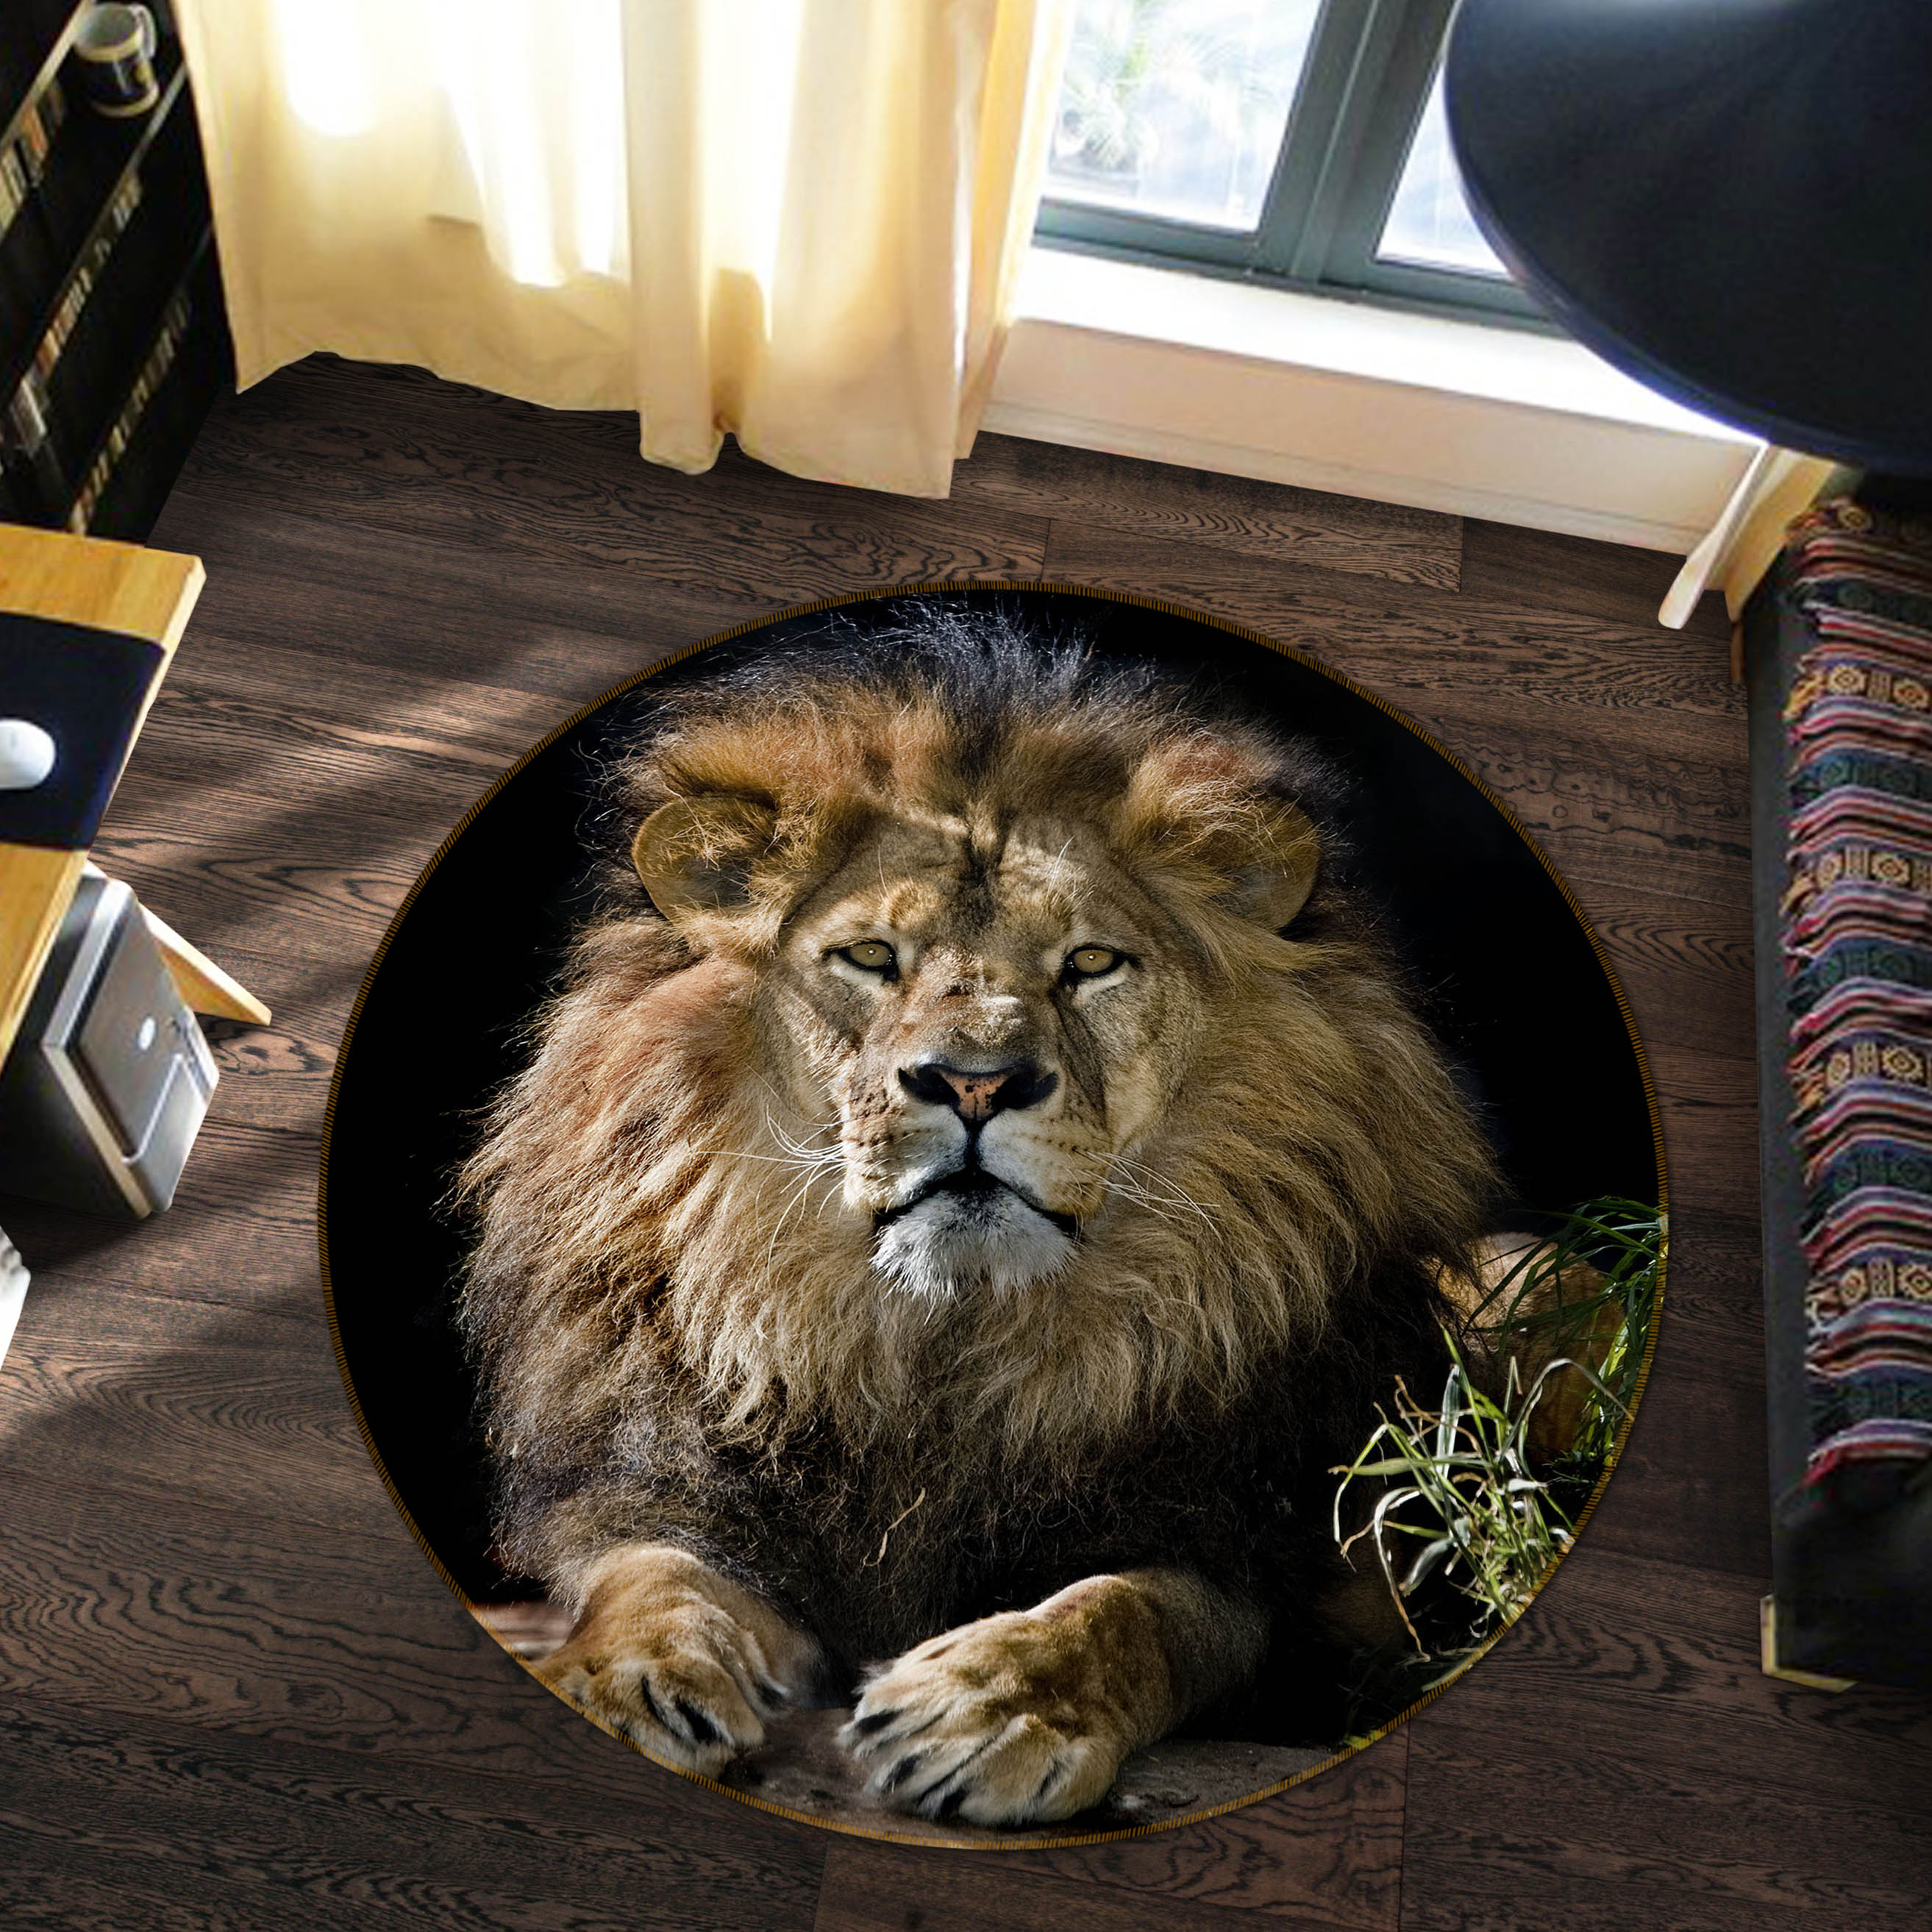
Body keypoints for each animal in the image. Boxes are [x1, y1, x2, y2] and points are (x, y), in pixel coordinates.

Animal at [457, 611, 1500, 1825]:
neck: (938, 1346)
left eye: (1089, 962)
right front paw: (623, 1676)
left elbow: (1128, 1608)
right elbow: (655, 1575)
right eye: (870, 956)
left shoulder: (1263, 1571)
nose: (972, 1081)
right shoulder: (666, 1482)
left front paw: (986, 1704)